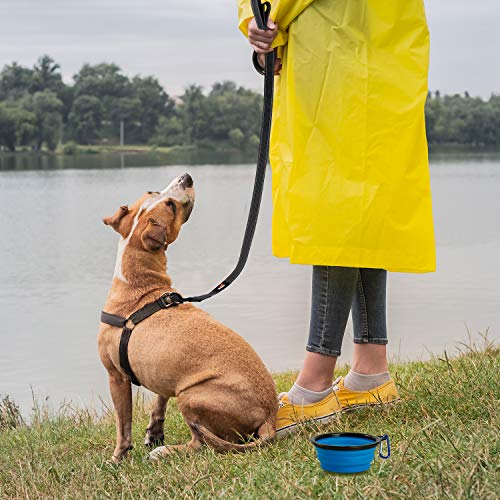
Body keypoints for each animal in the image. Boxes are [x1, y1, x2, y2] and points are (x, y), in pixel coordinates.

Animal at [96, 174, 278, 462]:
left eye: (170, 205)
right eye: (155, 193)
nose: (187, 177)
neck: (139, 284)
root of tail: (270, 416)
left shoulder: (116, 376)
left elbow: (122, 425)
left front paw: (117, 458)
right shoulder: (162, 370)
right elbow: (159, 402)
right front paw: (154, 431)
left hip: (189, 395)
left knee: (200, 443)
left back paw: (164, 451)